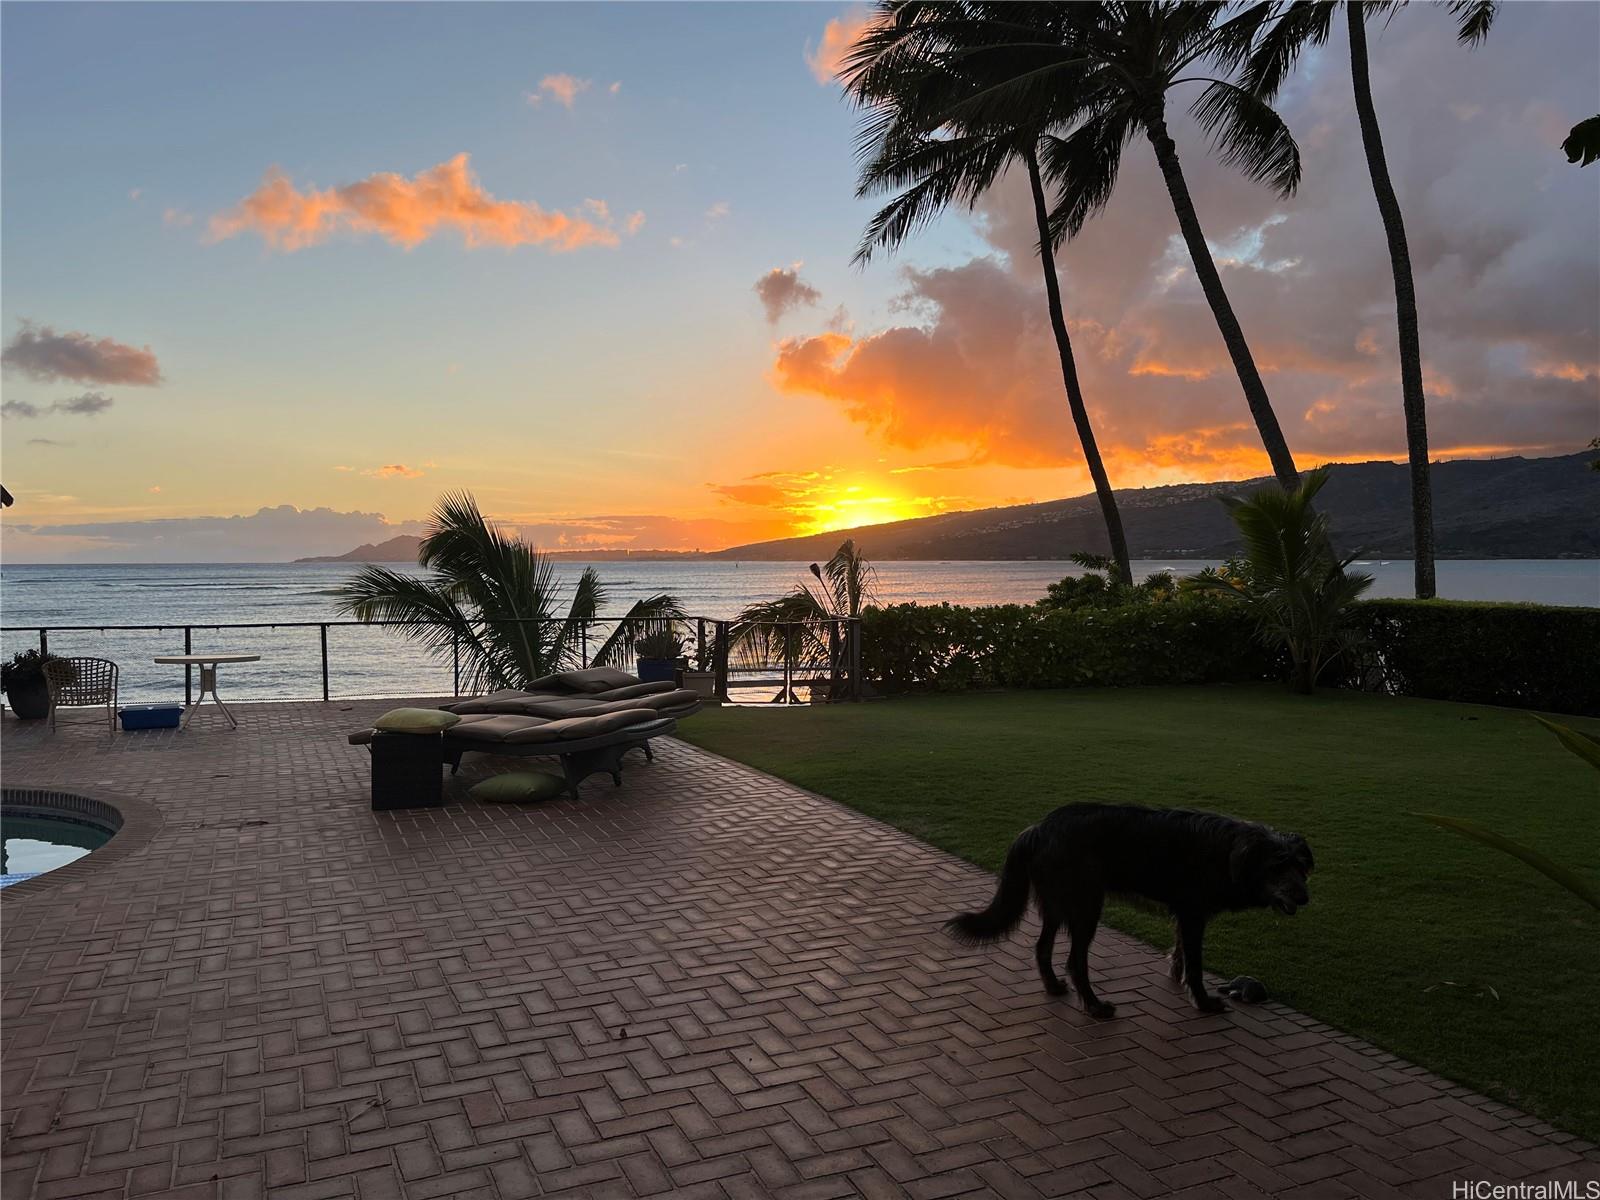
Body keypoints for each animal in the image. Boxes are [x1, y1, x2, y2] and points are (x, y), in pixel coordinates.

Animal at [940, 809, 1305, 1017]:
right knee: (1075, 961)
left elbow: (1182, 953)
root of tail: (1039, 828)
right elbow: (1197, 965)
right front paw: (1203, 1002)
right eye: (1277, 867)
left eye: (1302, 867)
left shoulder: (1186, 914)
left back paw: (1055, 987)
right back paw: (1094, 1006)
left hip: (1057, 904)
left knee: (1042, 947)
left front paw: (1177, 976)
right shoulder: (1193, 914)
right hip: (1086, 906)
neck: (1231, 851)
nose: (1304, 898)